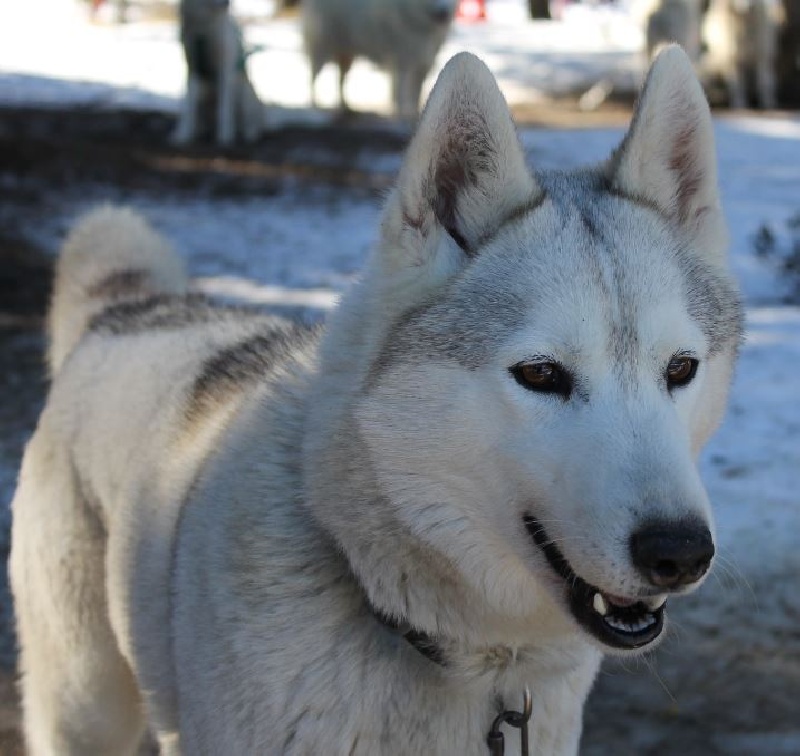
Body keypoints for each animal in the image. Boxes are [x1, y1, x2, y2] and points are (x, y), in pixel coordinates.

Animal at [172, 0, 264, 146]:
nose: (227, 3)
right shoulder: (192, 66)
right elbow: (188, 108)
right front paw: (183, 134)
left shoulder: (225, 69)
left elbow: (224, 108)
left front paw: (225, 136)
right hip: (203, 93)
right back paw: (201, 129)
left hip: (244, 94)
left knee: (251, 121)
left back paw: (249, 133)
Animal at [301, 0, 457, 119]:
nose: (444, 13)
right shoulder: (402, 61)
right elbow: (400, 93)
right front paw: (402, 116)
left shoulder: (422, 63)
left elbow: (416, 94)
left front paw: (415, 115)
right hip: (322, 49)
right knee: (312, 78)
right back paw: (315, 108)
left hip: (346, 54)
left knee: (340, 79)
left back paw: (345, 107)